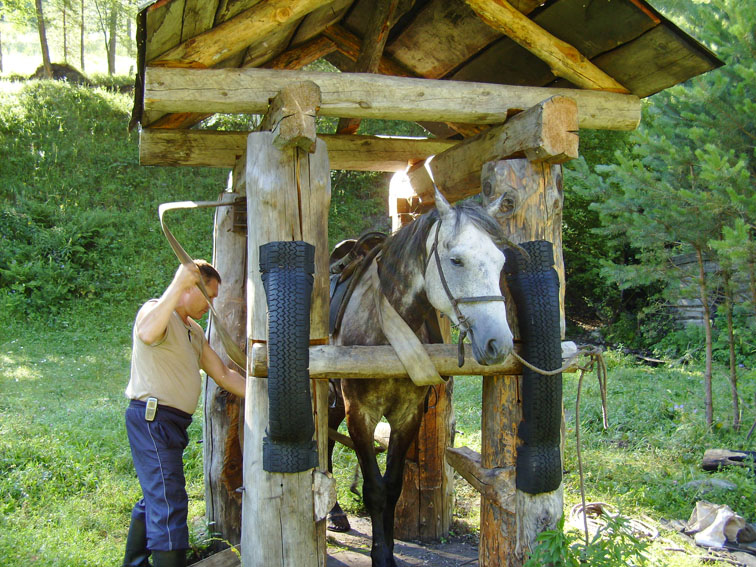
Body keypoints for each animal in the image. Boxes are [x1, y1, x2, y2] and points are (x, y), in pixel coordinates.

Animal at [326, 190, 512, 567]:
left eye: (500, 261)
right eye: (456, 260)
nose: (498, 343)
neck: (384, 328)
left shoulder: (407, 415)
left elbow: (393, 487)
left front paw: (386, 548)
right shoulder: (361, 414)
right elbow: (374, 489)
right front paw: (381, 556)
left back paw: (336, 513)